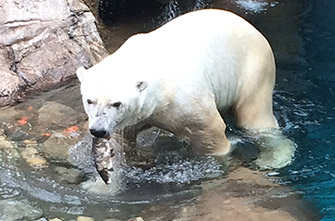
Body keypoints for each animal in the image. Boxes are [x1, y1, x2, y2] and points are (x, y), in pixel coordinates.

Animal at [77, 8, 296, 167]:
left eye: (116, 103)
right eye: (89, 100)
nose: (98, 130)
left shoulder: (187, 101)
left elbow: (212, 131)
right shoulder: (140, 113)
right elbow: (126, 137)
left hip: (253, 69)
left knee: (254, 118)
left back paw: (274, 157)